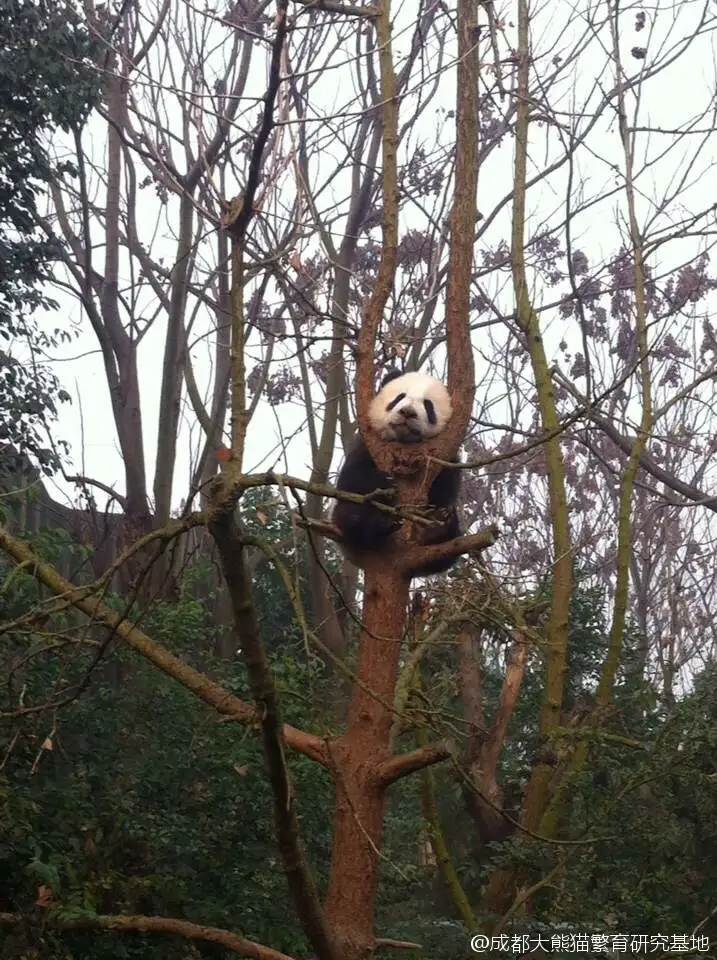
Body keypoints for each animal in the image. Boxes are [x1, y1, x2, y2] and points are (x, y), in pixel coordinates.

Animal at [332, 368, 462, 576]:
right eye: (399, 397)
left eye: (428, 405)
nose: (407, 412)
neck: (404, 444)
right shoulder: (367, 445)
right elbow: (349, 479)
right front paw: (384, 482)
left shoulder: (443, 456)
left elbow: (446, 491)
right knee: (353, 514)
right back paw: (380, 524)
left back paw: (436, 527)